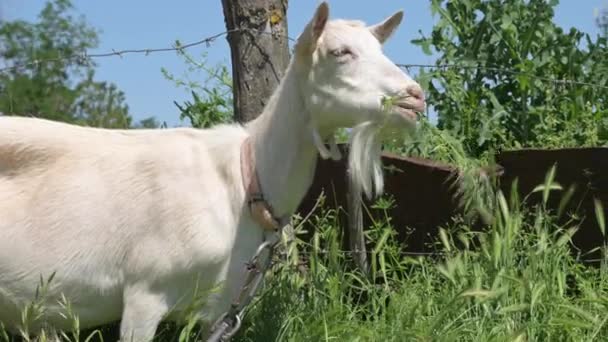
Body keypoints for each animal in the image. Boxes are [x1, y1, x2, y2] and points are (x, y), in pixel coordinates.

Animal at [0, 3, 428, 342]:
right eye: (341, 52)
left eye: (380, 49)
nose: (415, 96)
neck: (244, 179)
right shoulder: (145, 292)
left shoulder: (221, 303)